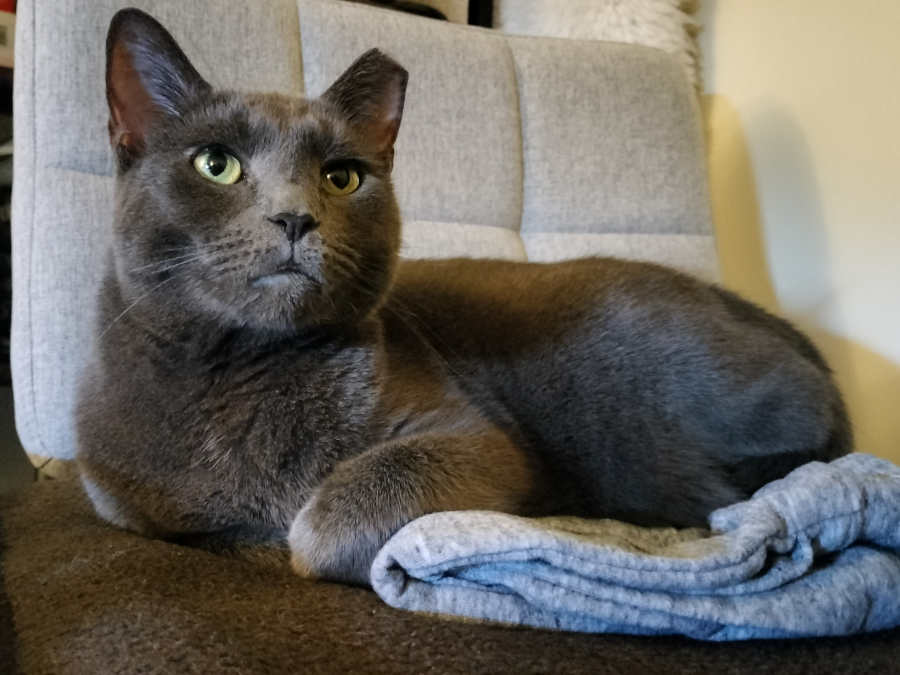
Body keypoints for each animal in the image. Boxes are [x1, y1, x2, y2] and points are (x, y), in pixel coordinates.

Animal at [77, 8, 851, 586]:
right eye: (217, 163)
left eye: (341, 177)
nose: (295, 216)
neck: (243, 371)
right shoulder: (121, 500)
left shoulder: (473, 436)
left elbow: (325, 522)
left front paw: (299, 532)